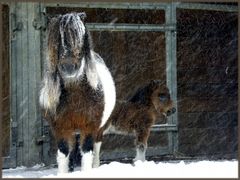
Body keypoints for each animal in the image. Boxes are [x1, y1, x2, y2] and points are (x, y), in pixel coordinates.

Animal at [39, 12, 116, 173]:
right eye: (58, 38)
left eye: (80, 37)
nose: (69, 67)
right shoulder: (61, 128)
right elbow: (64, 153)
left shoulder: (90, 127)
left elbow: (86, 152)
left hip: (100, 128)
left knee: (96, 148)